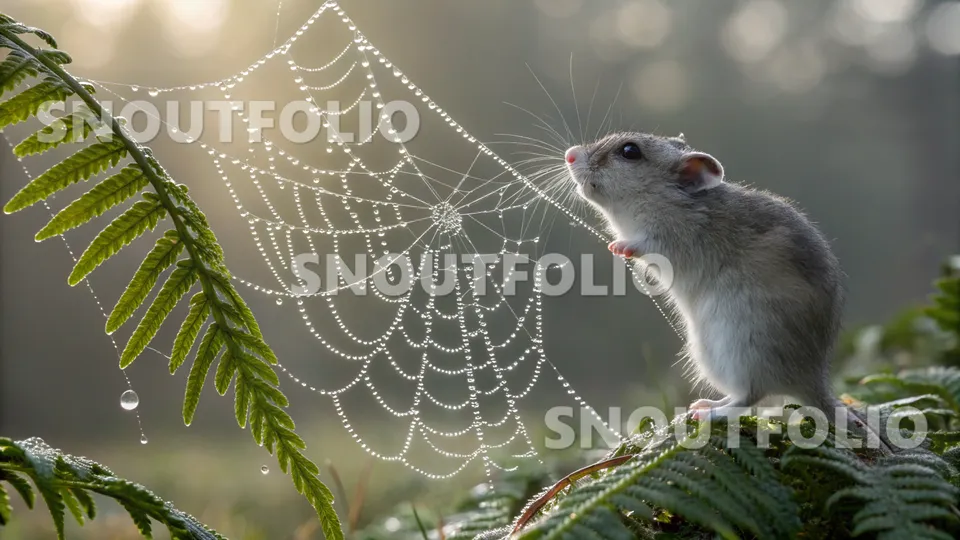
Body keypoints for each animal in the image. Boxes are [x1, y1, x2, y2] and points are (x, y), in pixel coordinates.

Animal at [564, 132, 887, 450]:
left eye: (630, 151)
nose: (570, 154)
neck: (667, 195)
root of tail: (813, 384)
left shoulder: (667, 239)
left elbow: (642, 243)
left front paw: (618, 247)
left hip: (740, 347)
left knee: (750, 396)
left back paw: (708, 413)